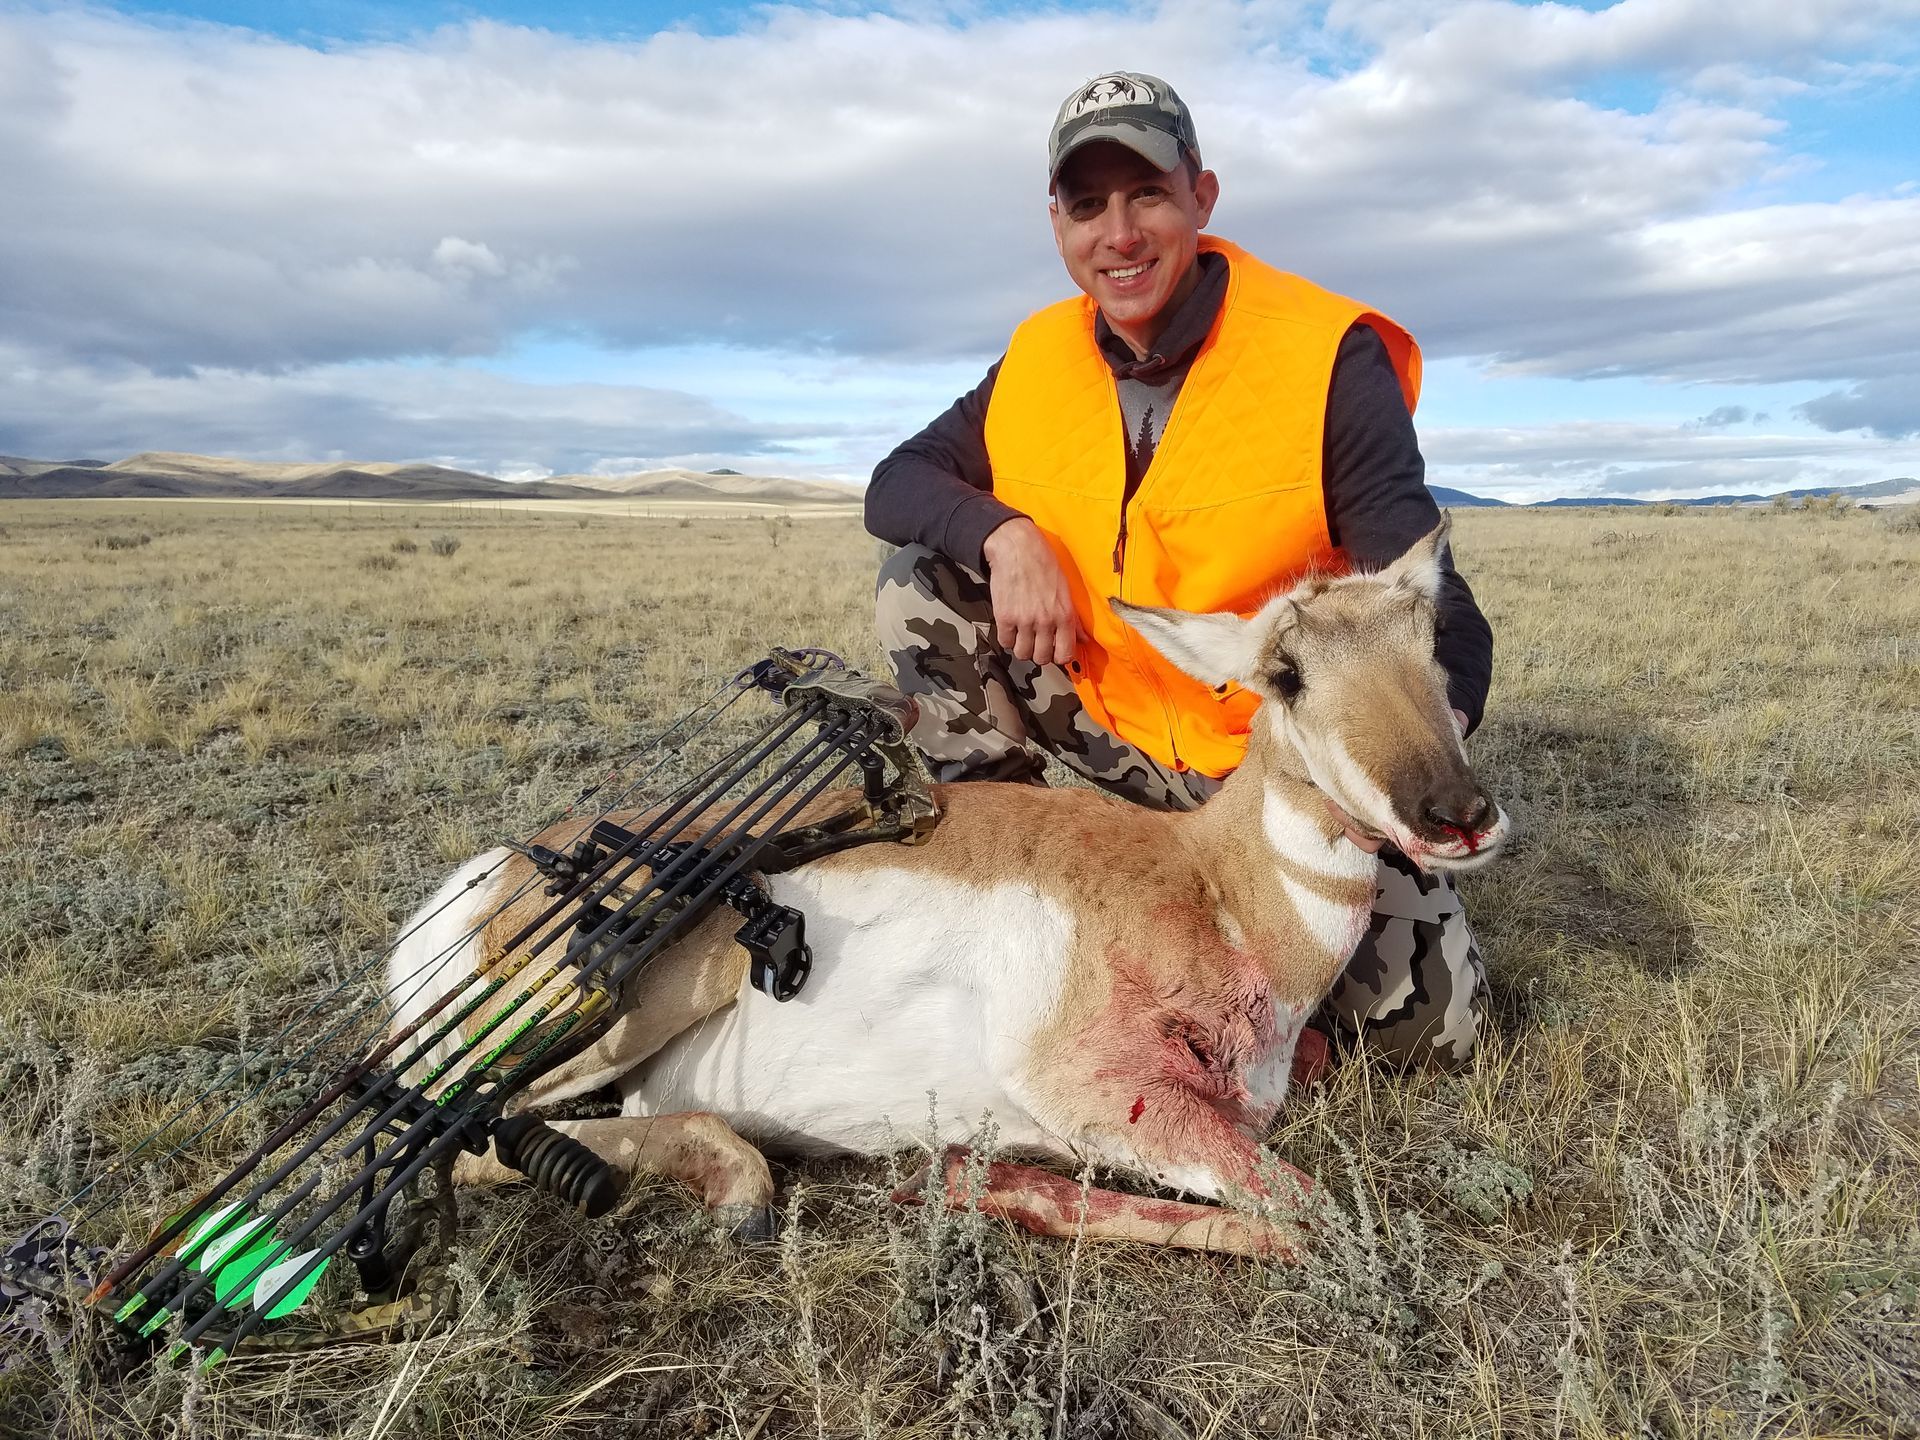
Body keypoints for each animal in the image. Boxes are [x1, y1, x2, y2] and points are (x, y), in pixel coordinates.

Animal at [385, 521, 1507, 1255]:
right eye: (1285, 672)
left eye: (1431, 640)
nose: (1458, 814)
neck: (1211, 880)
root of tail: (491, 874)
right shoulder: (1099, 1092)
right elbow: (1317, 1220)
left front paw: (972, 1181)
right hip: (630, 1005)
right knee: (448, 1135)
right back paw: (741, 1185)